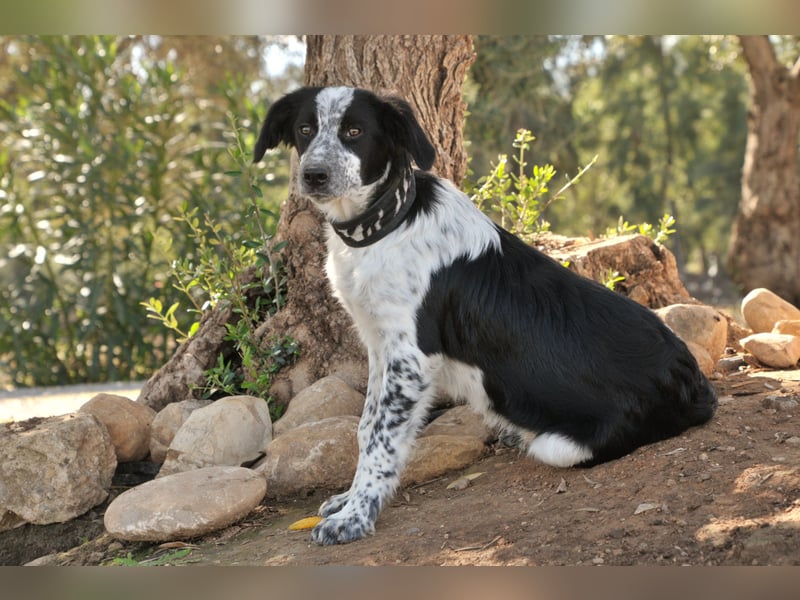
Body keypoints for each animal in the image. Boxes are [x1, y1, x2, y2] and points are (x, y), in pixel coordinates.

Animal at [256, 86, 720, 548]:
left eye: (355, 131)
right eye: (305, 129)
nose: (313, 175)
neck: (389, 224)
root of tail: (695, 382)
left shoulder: (410, 359)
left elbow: (380, 440)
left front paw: (355, 516)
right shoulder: (380, 347)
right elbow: (366, 425)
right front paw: (349, 500)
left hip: (564, 445)